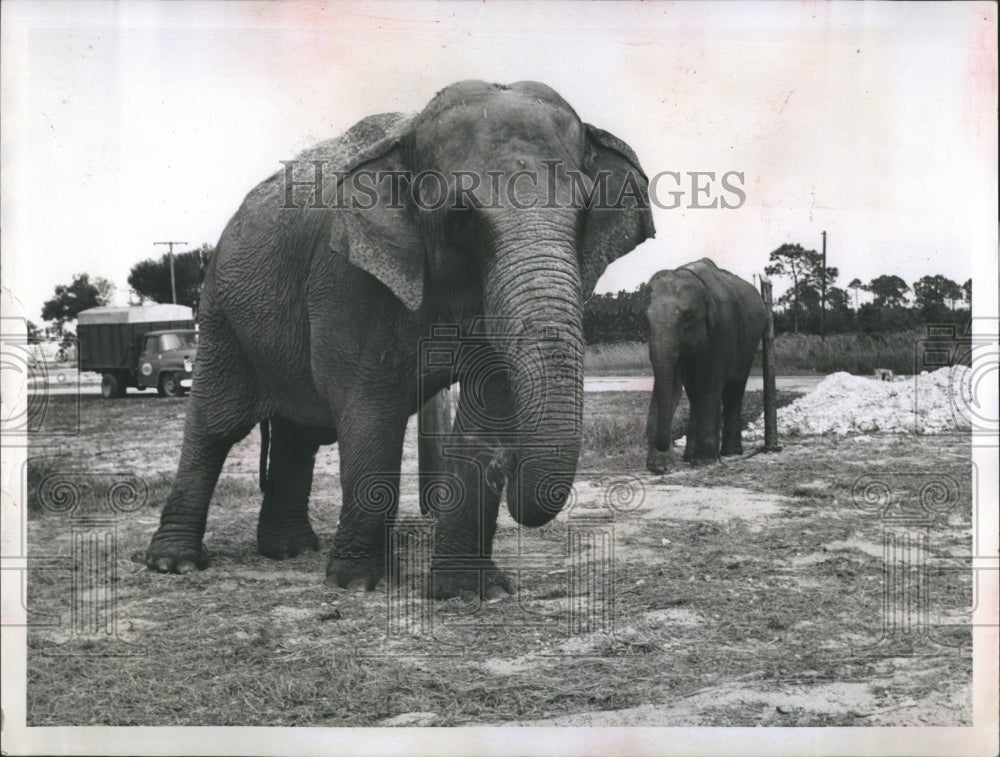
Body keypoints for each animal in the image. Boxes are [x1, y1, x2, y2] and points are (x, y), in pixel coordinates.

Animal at [145, 81, 652, 596]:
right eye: (462, 217)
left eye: (584, 213)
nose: (509, 470)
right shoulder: (347, 277)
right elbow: (371, 409)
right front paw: (356, 584)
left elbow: (488, 403)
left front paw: (471, 591)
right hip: (220, 314)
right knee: (217, 425)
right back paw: (174, 563)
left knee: (300, 432)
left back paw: (289, 550)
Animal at [648, 260, 764, 472]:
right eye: (645, 318)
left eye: (687, 316)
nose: (663, 446)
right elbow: (673, 386)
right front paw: (659, 466)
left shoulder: (723, 327)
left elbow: (710, 384)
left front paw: (704, 461)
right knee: (695, 393)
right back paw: (689, 456)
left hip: (750, 345)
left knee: (734, 390)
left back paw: (729, 453)